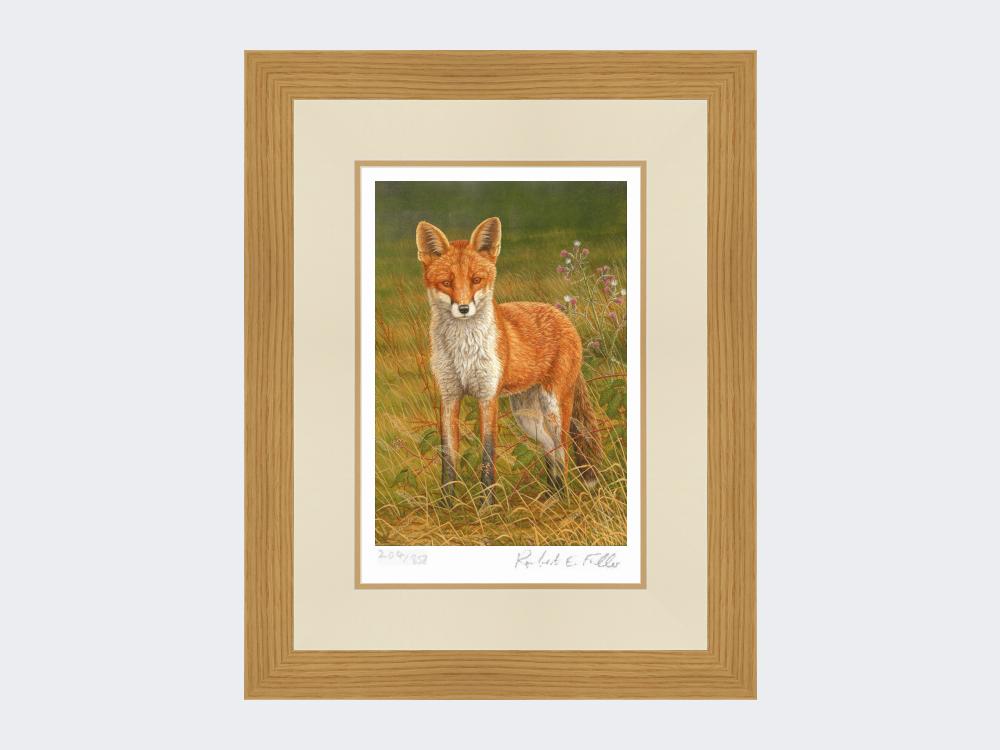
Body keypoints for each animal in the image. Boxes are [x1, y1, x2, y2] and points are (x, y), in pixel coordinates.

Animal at [416, 216, 603, 505]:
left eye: (476, 280)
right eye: (446, 282)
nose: (463, 309)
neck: (463, 351)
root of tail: (562, 316)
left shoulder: (487, 396)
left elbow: (487, 454)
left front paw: (486, 506)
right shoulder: (449, 396)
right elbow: (448, 456)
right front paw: (447, 505)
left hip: (553, 408)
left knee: (563, 451)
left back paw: (563, 500)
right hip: (527, 416)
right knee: (550, 450)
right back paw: (551, 497)